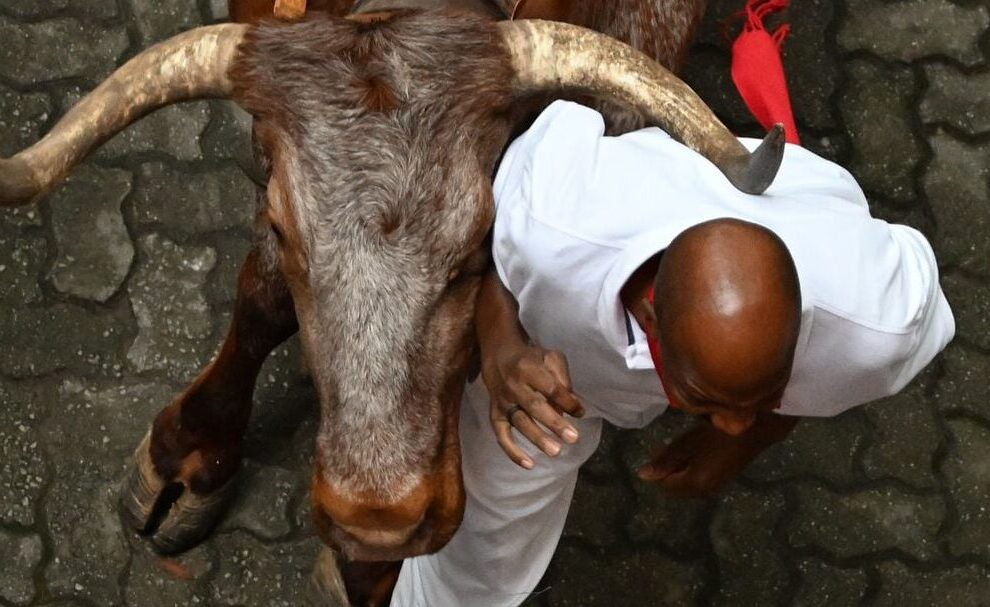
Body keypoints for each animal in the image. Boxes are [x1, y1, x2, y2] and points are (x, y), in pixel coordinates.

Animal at [0, 0, 784, 604]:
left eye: (481, 243)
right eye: (283, 228)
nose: (378, 516)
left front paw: (369, 571)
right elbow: (263, 296)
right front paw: (191, 448)